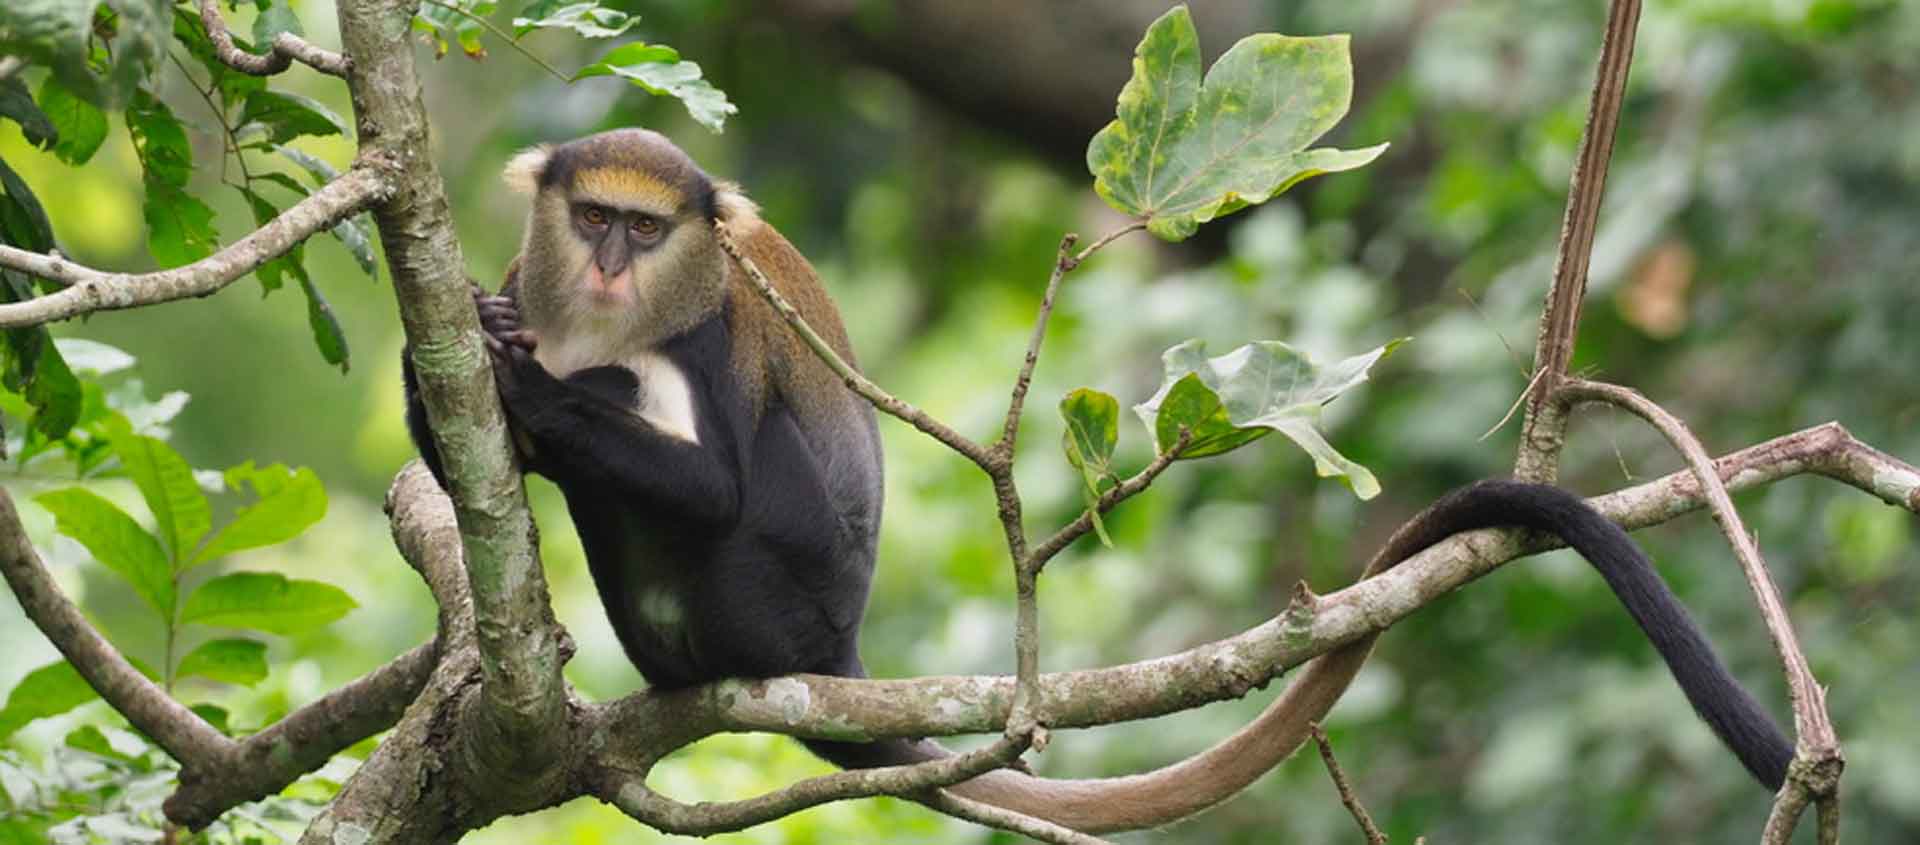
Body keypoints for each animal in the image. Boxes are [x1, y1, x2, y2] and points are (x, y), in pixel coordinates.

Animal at [397, 128, 1789, 833]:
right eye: (593, 220)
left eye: (645, 230)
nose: (611, 267)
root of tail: (839, 653)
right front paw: (449, 368)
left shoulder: (700, 336)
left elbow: (723, 493)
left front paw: (528, 395)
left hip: (772, 608)